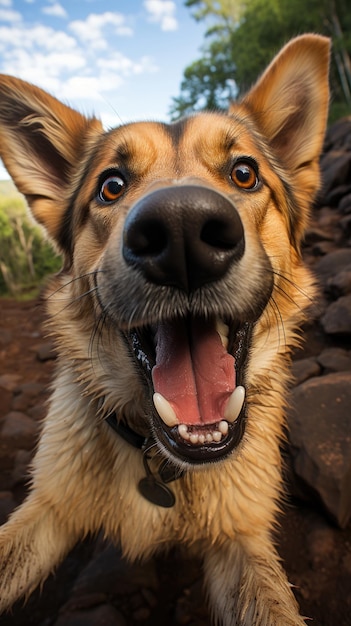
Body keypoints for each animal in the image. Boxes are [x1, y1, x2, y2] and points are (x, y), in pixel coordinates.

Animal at [0, 34, 330, 624]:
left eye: (244, 173)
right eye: (111, 186)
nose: (182, 231)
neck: (161, 462)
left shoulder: (240, 540)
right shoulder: (50, 508)